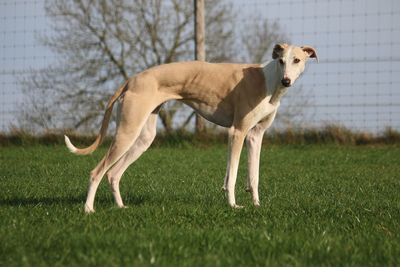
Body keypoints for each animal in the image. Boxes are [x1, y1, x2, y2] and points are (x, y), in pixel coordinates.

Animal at [64, 42, 318, 214]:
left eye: (297, 60)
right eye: (281, 60)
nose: (286, 81)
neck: (269, 80)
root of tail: (132, 79)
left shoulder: (255, 136)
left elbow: (253, 176)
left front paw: (256, 204)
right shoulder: (237, 132)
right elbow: (233, 175)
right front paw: (233, 205)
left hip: (143, 138)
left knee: (113, 174)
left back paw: (121, 207)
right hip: (127, 132)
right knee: (97, 172)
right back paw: (88, 209)